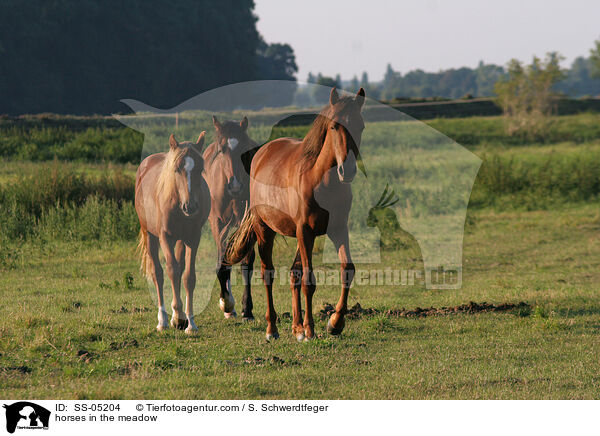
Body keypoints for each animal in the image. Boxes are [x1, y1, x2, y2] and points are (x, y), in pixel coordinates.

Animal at [135, 131, 212, 332]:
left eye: (200, 169)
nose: (190, 206)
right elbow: (171, 271)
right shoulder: (165, 237)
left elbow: (188, 277)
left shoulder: (193, 238)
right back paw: (162, 320)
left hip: (180, 240)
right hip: (150, 235)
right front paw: (176, 318)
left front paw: (189, 322)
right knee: (158, 273)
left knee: (180, 267)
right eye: (177, 169)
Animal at [204, 116, 258, 320]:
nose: (235, 186)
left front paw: (247, 309)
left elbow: (246, 264)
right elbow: (222, 264)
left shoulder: (248, 224)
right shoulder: (218, 224)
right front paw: (226, 303)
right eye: (221, 150)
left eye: (244, 149)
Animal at [225, 88, 366, 340]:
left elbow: (347, 270)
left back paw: (297, 327)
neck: (321, 180)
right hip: (266, 230)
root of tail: (261, 153)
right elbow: (309, 280)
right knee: (268, 274)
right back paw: (272, 329)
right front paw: (311, 330)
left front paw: (334, 323)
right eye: (334, 126)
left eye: (360, 126)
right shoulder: (305, 231)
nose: (347, 170)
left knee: (293, 274)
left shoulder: (338, 229)